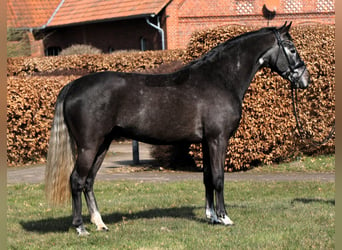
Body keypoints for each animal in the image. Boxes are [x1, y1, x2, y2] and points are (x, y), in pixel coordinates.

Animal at [44, 21, 310, 234]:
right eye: (292, 48)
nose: (305, 79)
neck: (220, 78)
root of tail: (73, 85)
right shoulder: (218, 139)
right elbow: (219, 178)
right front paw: (224, 218)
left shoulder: (206, 141)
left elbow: (207, 178)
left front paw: (211, 217)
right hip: (89, 146)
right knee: (77, 180)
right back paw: (80, 227)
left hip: (103, 144)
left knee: (89, 181)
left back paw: (99, 224)